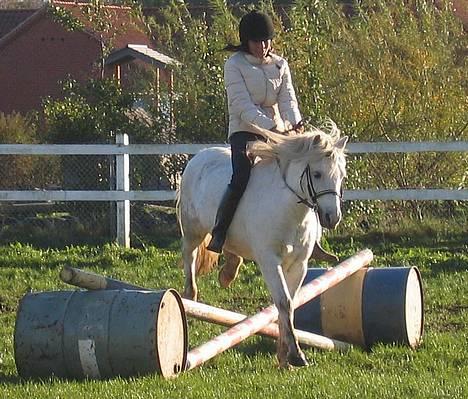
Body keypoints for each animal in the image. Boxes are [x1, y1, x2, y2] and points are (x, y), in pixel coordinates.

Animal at [176, 122, 348, 368]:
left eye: (342, 176)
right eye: (317, 174)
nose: (332, 218)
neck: (290, 210)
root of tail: (200, 156)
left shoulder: (299, 264)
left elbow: (289, 304)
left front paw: (284, 356)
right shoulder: (269, 261)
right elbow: (284, 302)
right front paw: (296, 355)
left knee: (229, 249)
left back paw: (227, 273)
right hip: (192, 231)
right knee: (189, 260)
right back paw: (191, 298)